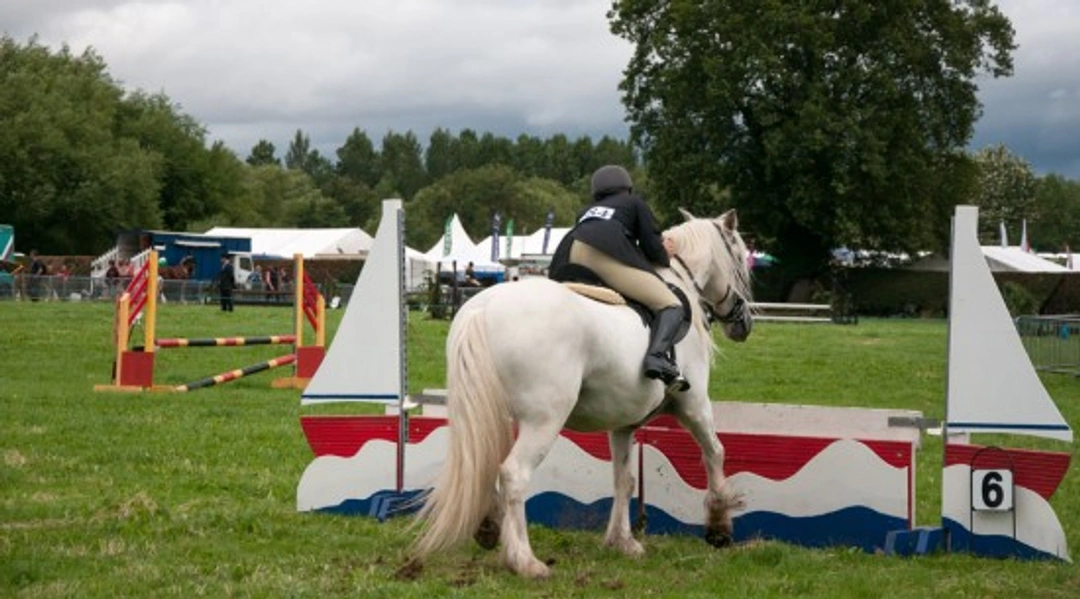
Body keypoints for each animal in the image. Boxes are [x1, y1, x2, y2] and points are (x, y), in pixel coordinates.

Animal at [409, 209, 754, 578]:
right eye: (740, 261)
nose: (743, 324)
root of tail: (484, 307)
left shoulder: (623, 424)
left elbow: (624, 479)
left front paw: (622, 541)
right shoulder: (694, 405)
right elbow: (715, 452)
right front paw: (719, 525)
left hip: (490, 412)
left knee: (483, 461)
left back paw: (489, 527)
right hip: (545, 420)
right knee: (514, 474)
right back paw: (524, 561)